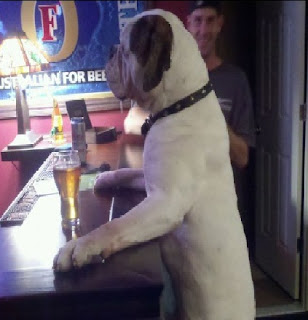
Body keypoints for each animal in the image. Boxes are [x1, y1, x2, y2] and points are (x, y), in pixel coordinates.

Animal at [54, 8, 256, 318]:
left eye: (125, 48)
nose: (110, 50)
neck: (179, 105)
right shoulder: (151, 180)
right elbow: (128, 171)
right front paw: (106, 178)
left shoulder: (166, 202)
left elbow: (117, 225)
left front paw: (80, 247)